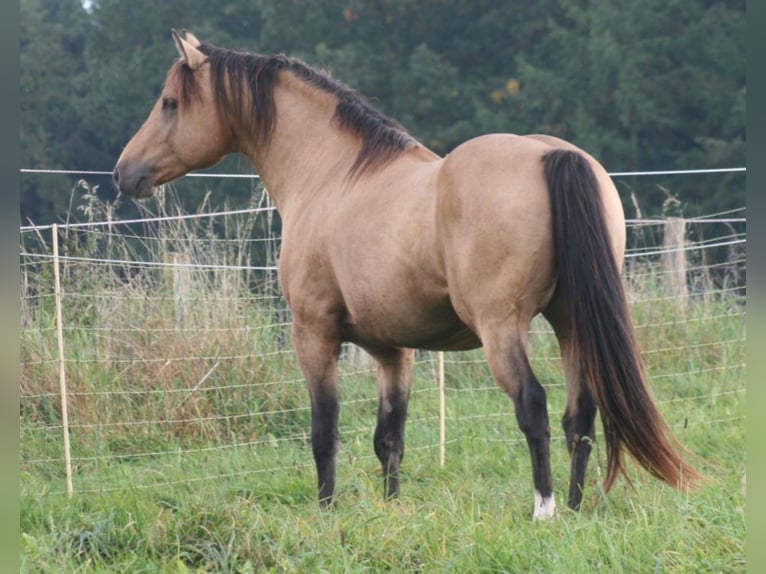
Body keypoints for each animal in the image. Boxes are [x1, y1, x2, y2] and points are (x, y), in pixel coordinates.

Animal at [114, 29, 704, 520]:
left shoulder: (314, 334)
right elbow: (389, 437)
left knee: (532, 406)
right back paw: (577, 510)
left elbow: (324, 432)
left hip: (502, 328)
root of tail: (551, 154)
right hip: (570, 324)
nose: (124, 174)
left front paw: (327, 513)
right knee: (578, 416)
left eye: (170, 103)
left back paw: (545, 509)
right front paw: (391, 509)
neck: (334, 175)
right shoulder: (393, 350)